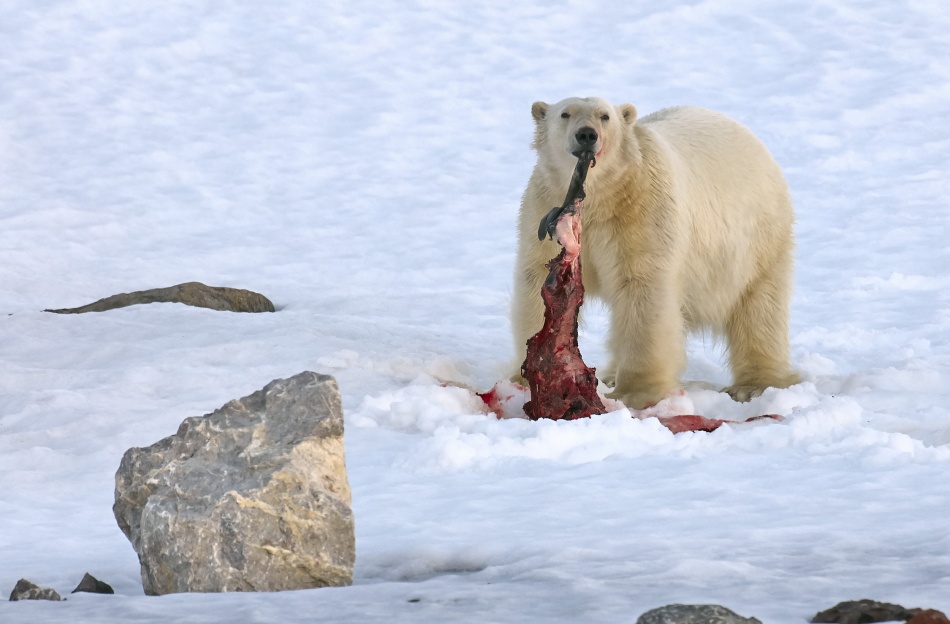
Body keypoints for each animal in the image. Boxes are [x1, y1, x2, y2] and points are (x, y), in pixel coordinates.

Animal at [512, 96, 804, 410]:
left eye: (605, 116)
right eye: (565, 114)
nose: (587, 135)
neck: (597, 197)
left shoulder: (641, 208)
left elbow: (642, 288)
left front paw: (635, 392)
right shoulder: (545, 205)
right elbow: (536, 280)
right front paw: (523, 377)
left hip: (756, 240)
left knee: (760, 307)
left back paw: (753, 386)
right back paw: (611, 373)